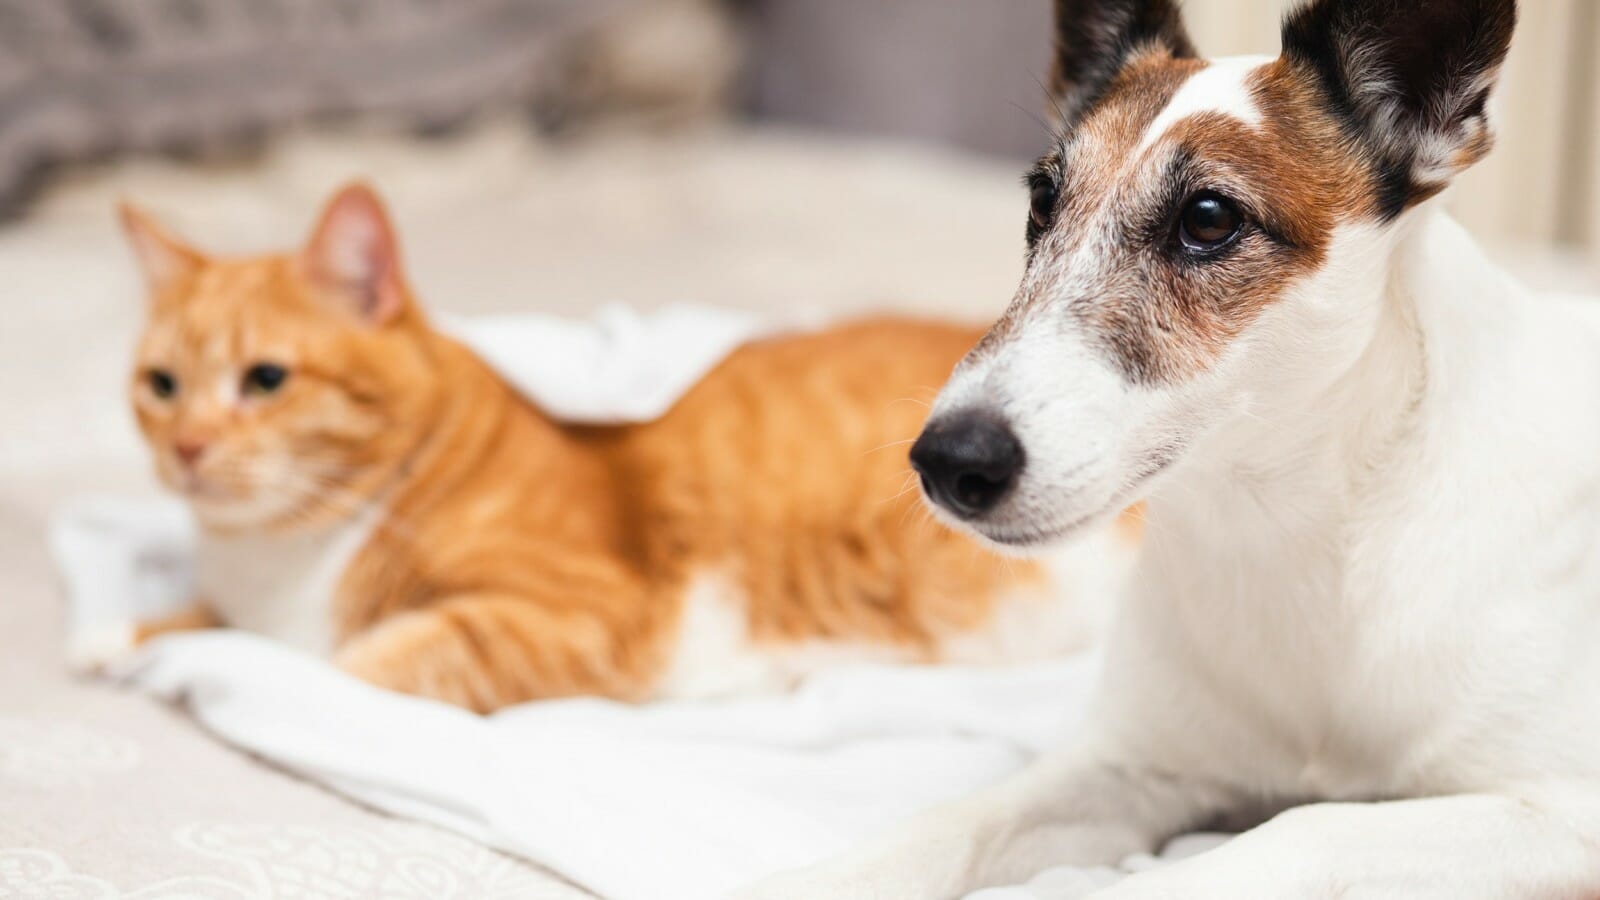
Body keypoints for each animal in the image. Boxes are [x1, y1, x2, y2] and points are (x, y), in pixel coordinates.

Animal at [103, 182, 1139, 711]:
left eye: (265, 380)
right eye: (162, 386)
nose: (187, 448)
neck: (277, 558)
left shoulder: (585, 611)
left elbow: (358, 659)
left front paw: (238, 664)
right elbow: (182, 623)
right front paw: (128, 636)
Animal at [739, 1, 1600, 896]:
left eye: (1209, 219)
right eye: (1042, 201)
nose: (947, 462)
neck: (1299, 532)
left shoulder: (1561, 816)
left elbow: (1302, 831)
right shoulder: (1131, 769)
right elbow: (953, 824)